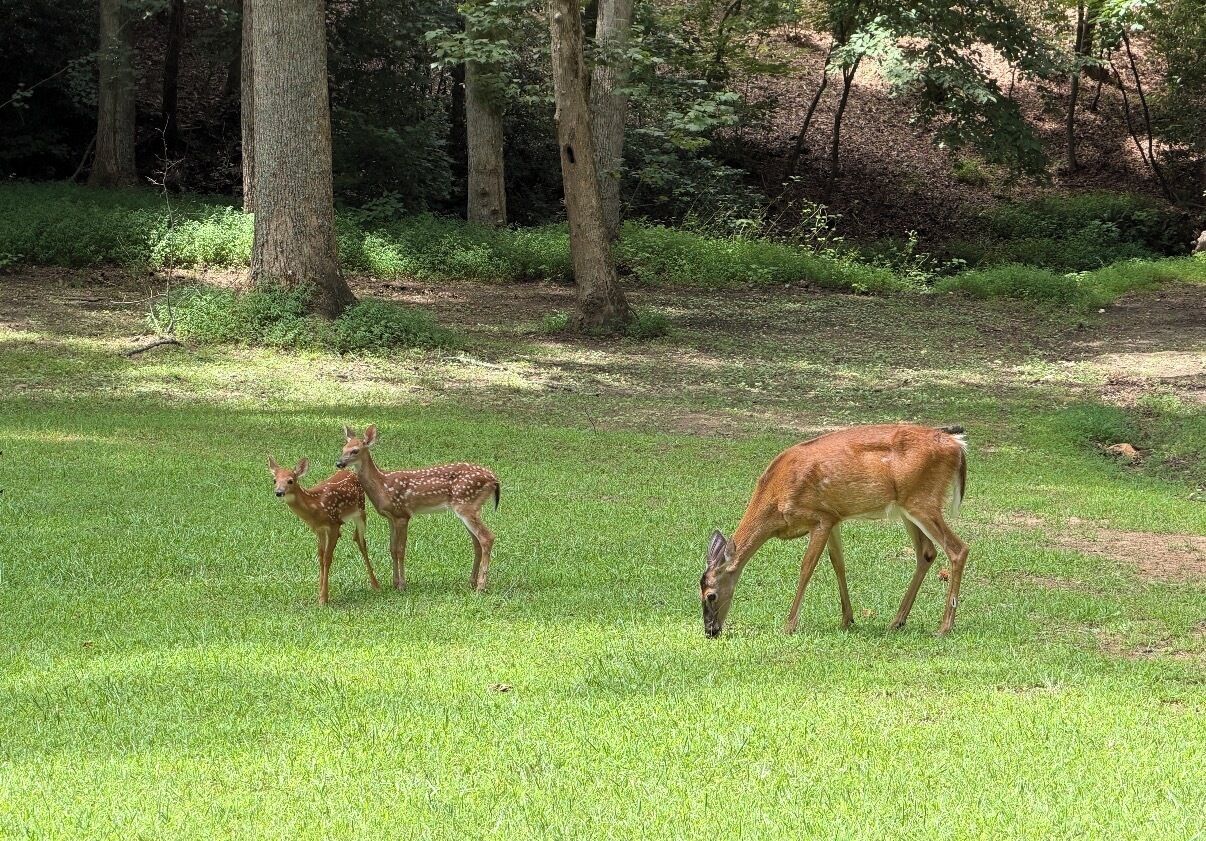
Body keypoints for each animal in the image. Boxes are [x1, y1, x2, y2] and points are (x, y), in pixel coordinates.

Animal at [267, 457, 380, 606]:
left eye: (290, 480)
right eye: (274, 480)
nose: (279, 492)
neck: (315, 506)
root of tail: (351, 472)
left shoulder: (334, 525)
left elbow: (327, 558)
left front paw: (324, 598)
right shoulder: (319, 529)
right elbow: (320, 557)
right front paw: (319, 593)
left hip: (361, 510)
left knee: (361, 542)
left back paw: (376, 584)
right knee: (356, 538)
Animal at [336, 425, 501, 592]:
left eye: (355, 450)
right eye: (343, 448)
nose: (339, 463)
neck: (382, 485)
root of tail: (494, 479)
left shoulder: (403, 515)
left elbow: (400, 550)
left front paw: (402, 585)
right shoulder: (391, 517)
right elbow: (392, 549)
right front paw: (394, 583)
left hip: (465, 505)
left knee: (487, 537)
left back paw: (480, 586)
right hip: (469, 508)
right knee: (477, 542)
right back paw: (472, 582)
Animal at [700, 423, 969, 639]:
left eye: (711, 595)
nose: (710, 630)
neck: (776, 499)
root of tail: (957, 446)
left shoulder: (820, 517)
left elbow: (807, 568)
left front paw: (789, 625)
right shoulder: (834, 518)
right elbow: (838, 563)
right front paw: (847, 619)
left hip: (922, 500)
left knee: (958, 549)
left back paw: (944, 627)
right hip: (907, 507)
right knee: (927, 553)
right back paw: (897, 621)